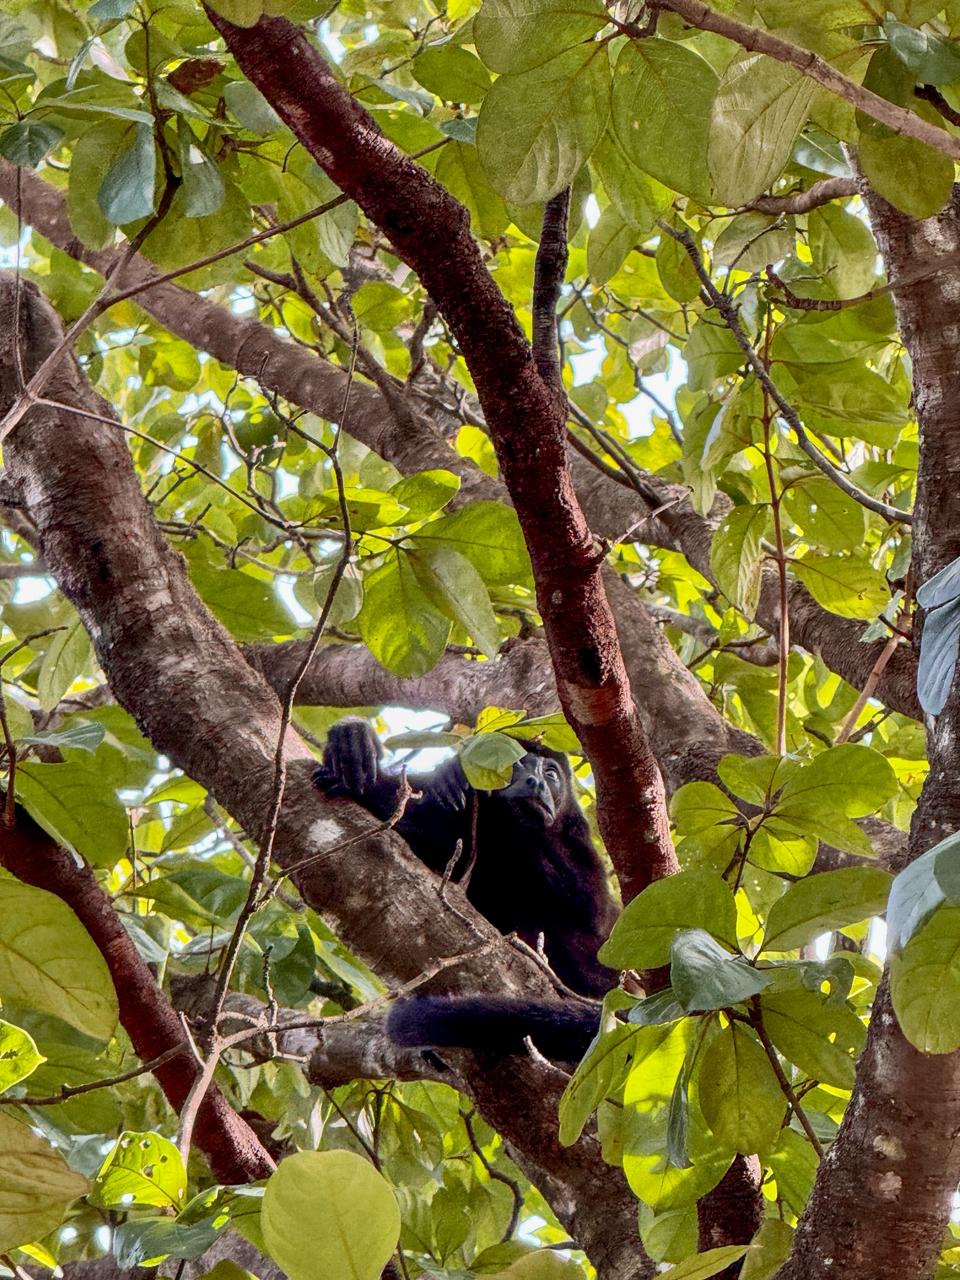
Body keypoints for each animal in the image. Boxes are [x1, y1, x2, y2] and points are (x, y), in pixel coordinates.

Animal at [313, 717, 618, 1057]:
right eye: (516, 763)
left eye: (551, 774)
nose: (536, 783)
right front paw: (352, 741)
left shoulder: (577, 831)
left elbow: (592, 911)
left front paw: (462, 775)